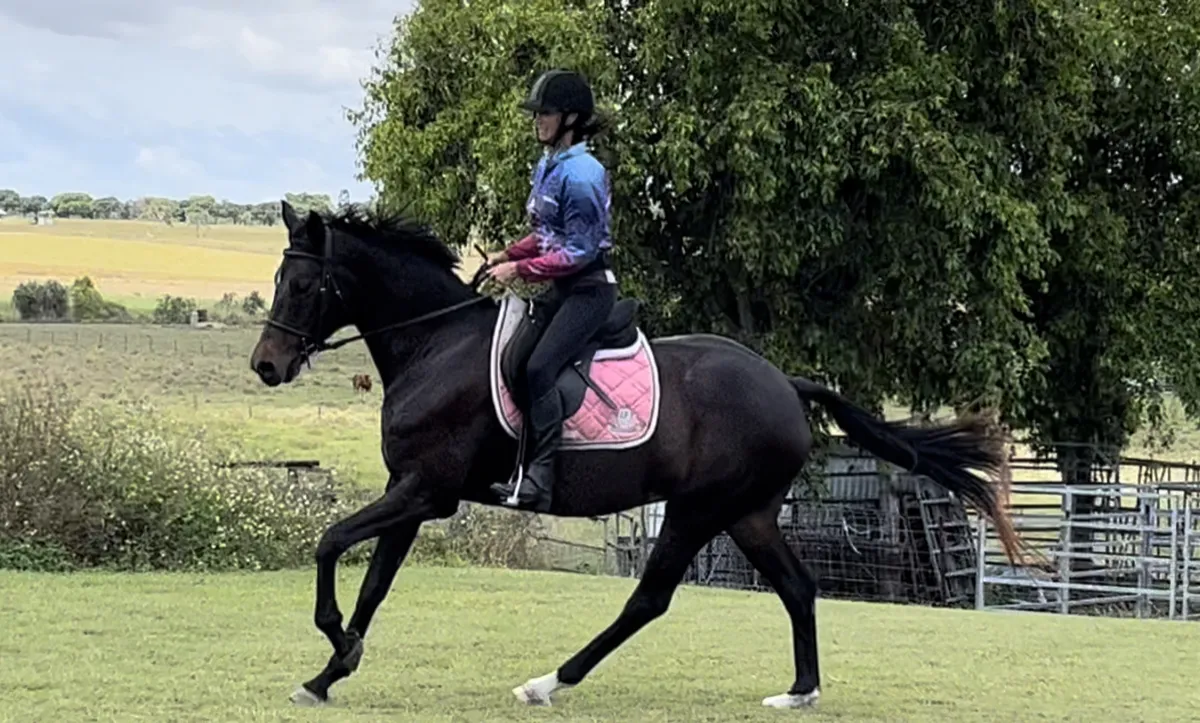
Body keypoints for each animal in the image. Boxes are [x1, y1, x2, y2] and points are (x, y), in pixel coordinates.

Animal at [249, 200, 1024, 711]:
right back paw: (799, 691)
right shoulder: (409, 491)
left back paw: (549, 681)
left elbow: (329, 542)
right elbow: (375, 584)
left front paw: (334, 645)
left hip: (697, 509)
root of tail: (785, 381)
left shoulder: (423, 491)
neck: (437, 345)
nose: (266, 365)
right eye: (281, 281)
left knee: (649, 598)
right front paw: (330, 672)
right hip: (747, 514)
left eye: (306, 284)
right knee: (798, 588)